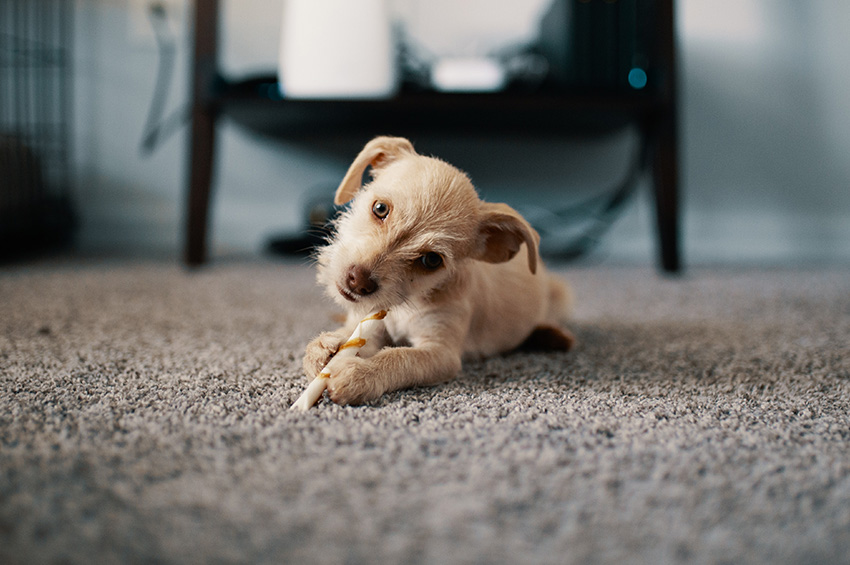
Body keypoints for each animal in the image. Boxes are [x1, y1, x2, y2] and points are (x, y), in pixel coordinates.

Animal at [302, 135, 572, 406]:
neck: (405, 305)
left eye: (431, 260)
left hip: (560, 293)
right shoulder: (370, 325)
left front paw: (360, 373)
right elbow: (351, 337)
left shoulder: (441, 352)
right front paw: (325, 347)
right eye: (380, 209)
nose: (358, 282)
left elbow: (400, 358)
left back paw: (551, 335)